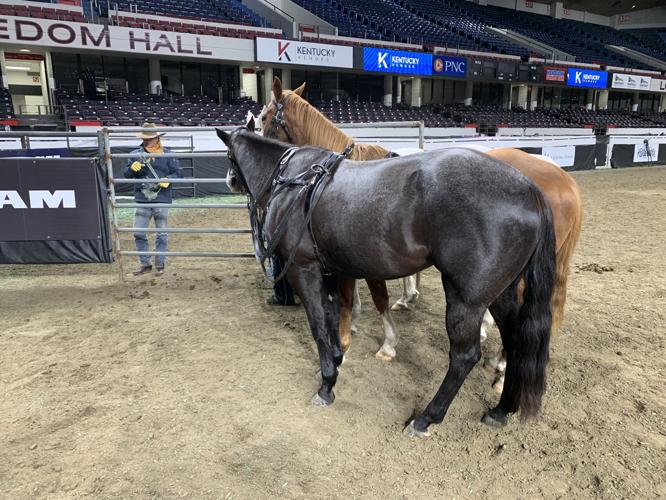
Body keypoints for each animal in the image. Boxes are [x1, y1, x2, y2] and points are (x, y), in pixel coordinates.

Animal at [218, 119, 557, 435]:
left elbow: (318, 324)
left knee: (465, 356)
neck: (298, 182)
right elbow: (333, 315)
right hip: (500, 293)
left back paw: (426, 418)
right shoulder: (330, 269)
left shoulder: (304, 269)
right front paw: (336, 360)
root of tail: (530, 190)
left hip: (467, 299)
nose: (231, 180)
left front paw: (327, 384)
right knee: (515, 341)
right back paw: (501, 409)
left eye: (229, 155)